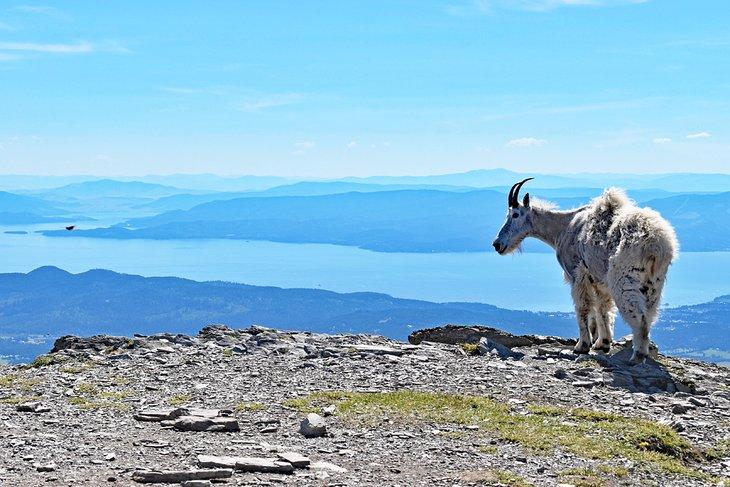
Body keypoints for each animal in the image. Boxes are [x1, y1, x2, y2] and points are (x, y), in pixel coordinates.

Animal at [492, 179, 678, 364]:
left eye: (515, 214)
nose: (497, 244)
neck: (563, 229)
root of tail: (655, 244)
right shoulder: (598, 280)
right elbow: (602, 309)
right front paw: (602, 343)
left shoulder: (577, 275)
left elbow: (583, 308)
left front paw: (582, 346)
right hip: (654, 283)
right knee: (649, 315)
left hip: (625, 280)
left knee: (639, 317)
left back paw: (637, 356)